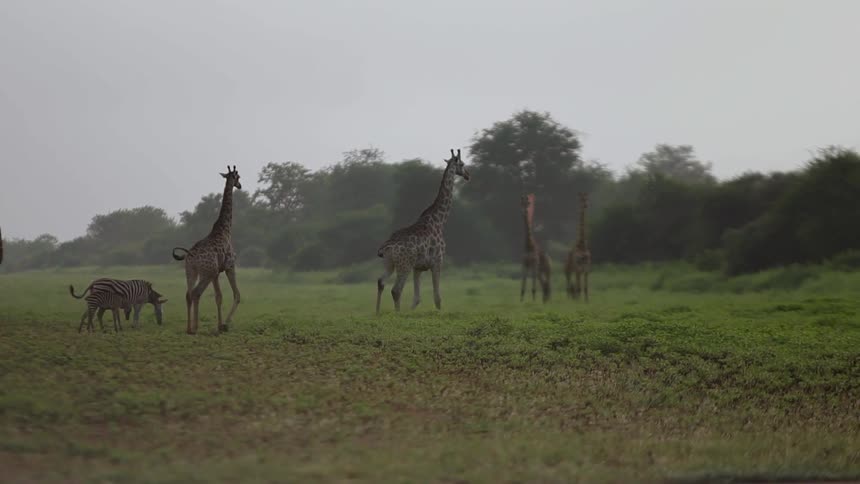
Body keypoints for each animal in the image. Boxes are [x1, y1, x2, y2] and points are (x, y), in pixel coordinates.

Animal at [172, 165, 242, 334]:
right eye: (238, 177)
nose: (240, 186)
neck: (225, 229)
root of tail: (189, 255)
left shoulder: (216, 272)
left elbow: (218, 296)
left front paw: (220, 325)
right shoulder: (229, 266)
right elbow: (234, 295)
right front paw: (224, 325)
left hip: (191, 271)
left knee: (189, 294)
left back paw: (189, 327)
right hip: (206, 272)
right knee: (196, 293)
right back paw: (195, 327)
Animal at [375, 149, 470, 314]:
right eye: (462, 164)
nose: (468, 175)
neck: (439, 221)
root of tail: (385, 248)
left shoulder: (418, 268)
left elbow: (416, 298)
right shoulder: (437, 262)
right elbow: (437, 298)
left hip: (389, 263)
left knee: (381, 282)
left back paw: (377, 312)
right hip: (404, 265)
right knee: (396, 290)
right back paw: (397, 314)